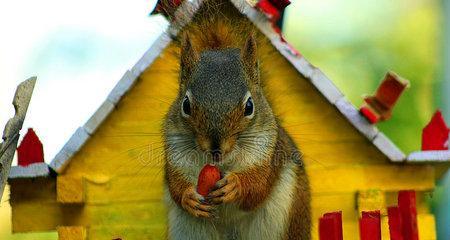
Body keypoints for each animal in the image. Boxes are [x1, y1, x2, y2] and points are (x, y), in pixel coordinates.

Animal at [162, 1, 310, 238]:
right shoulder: (175, 153)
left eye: (249, 106)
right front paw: (188, 197)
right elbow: (176, 186)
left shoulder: (266, 153)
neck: (221, 164)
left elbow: (258, 187)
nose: (215, 149)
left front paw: (235, 185)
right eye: (185, 105)